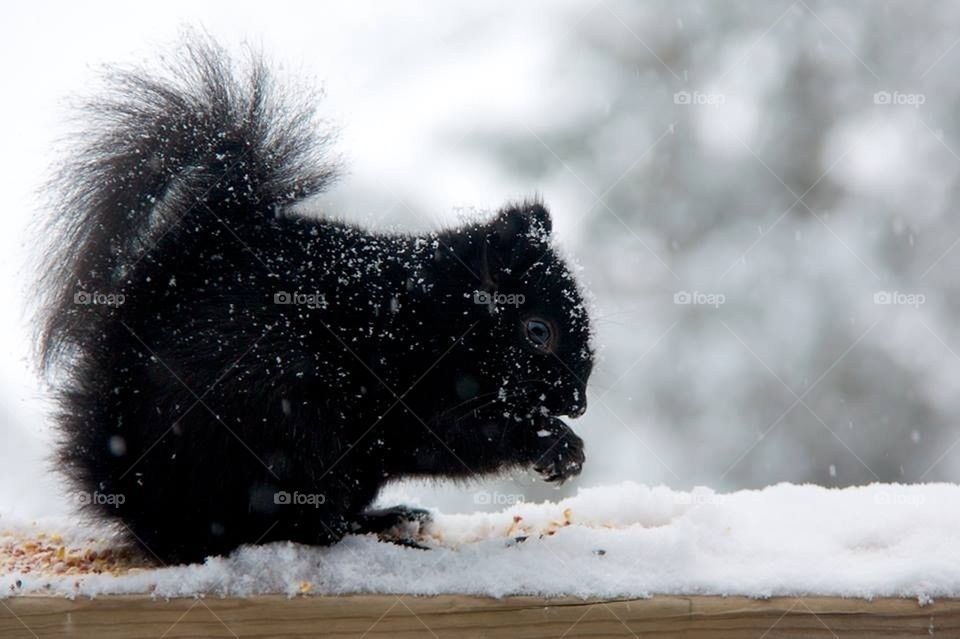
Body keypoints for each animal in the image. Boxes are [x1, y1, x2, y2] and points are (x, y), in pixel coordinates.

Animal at [36, 35, 594, 564]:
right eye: (538, 331)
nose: (579, 403)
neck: (437, 314)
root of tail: (143, 503)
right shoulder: (414, 388)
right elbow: (455, 440)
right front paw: (554, 443)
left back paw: (387, 517)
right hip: (284, 421)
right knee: (288, 528)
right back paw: (372, 533)